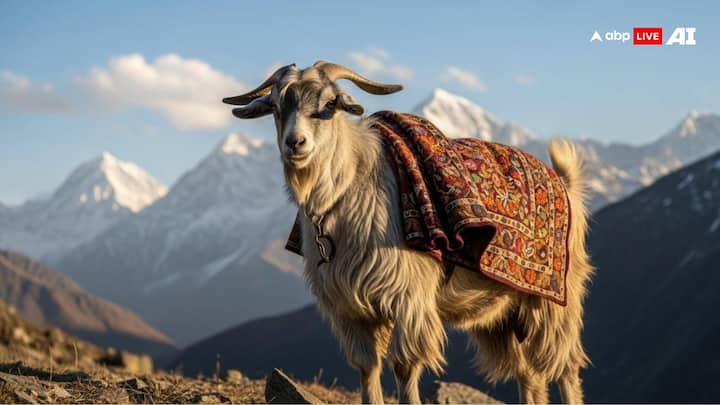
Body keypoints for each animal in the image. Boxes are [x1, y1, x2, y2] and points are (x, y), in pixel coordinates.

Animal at [224, 62, 594, 404]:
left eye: (330, 103)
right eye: (275, 106)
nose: (295, 143)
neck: (350, 188)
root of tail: (564, 185)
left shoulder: (408, 299)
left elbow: (403, 365)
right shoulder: (349, 308)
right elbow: (367, 366)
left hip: (553, 305)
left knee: (565, 367)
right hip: (502, 314)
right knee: (529, 374)